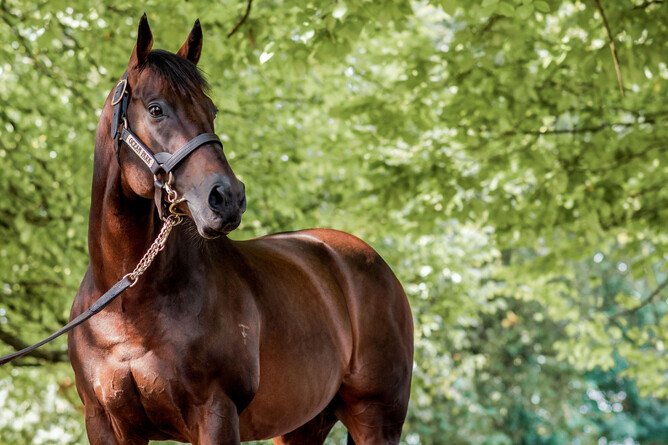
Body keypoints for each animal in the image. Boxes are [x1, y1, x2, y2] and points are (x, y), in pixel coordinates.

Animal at [68, 15, 413, 445]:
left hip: (376, 417)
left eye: (211, 110)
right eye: (156, 109)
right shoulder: (106, 423)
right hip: (304, 424)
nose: (227, 197)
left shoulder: (216, 412)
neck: (128, 304)